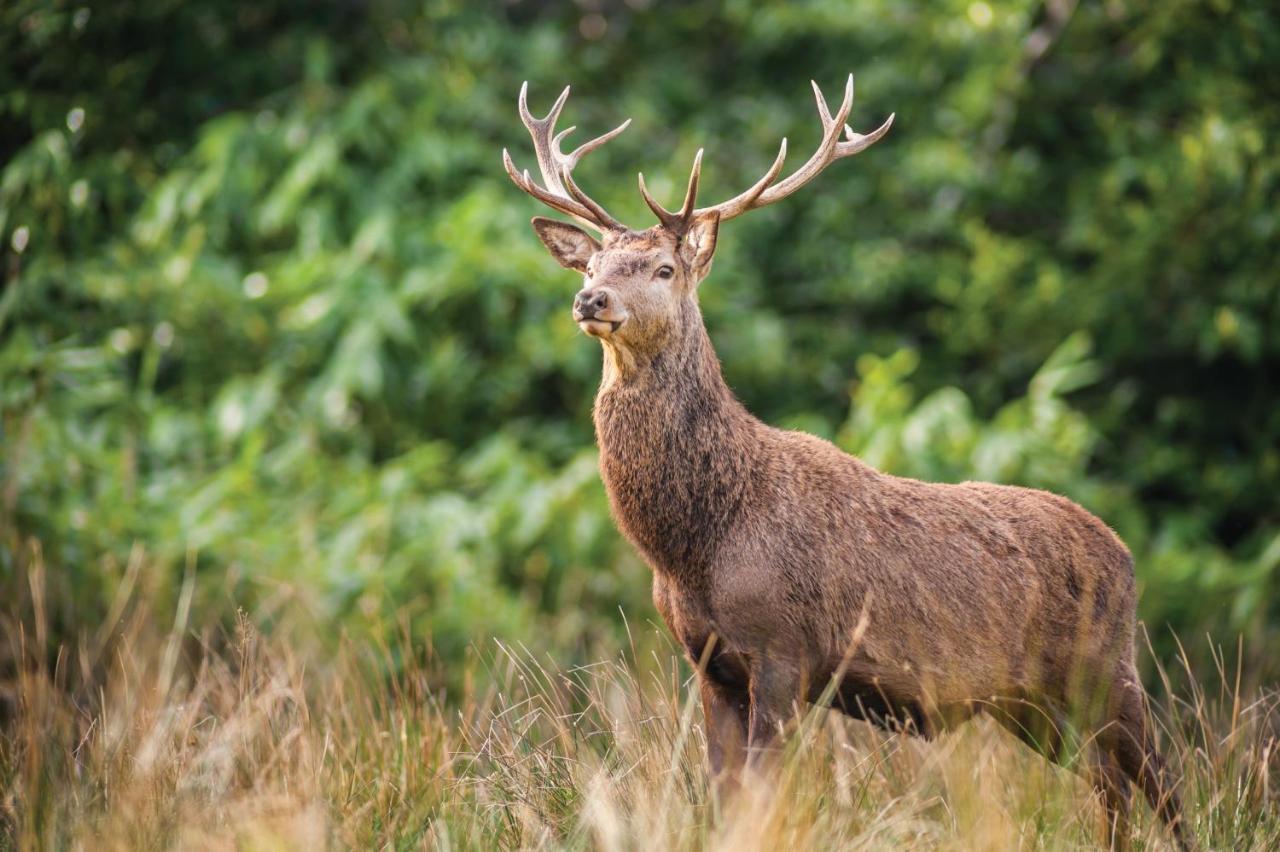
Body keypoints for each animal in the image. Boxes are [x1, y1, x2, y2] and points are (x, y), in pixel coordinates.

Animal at [501, 74, 1187, 849]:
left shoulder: (784, 650)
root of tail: (1123, 553)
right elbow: (724, 799)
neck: (697, 544)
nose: (590, 298)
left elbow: (763, 797)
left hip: (1107, 665)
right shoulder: (707, 664)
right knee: (1110, 787)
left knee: (1166, 783)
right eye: (592, 262)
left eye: (664, 267)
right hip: (1032, 704)